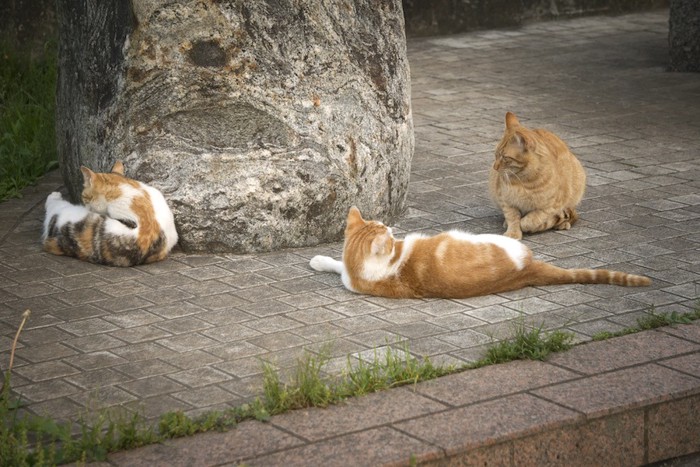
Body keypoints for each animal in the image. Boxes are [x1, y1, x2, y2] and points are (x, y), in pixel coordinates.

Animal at [308, 207, 652, 300]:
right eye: (389, 235)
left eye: (384, 225)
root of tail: (527, 270)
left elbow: (337, 263)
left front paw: (320, 260)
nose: (392, 228)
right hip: (497, 240)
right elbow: (339, 265)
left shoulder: (350, 272)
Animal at [490, 111, 588, 239]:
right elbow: (513, 217)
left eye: (505, 157)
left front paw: (527, 225)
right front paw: (513, 232)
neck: (525, 182)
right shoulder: (505, 199)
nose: (495, 167)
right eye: (496, 155)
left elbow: (531, 220)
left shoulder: (551, 207)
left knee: (571, 214)